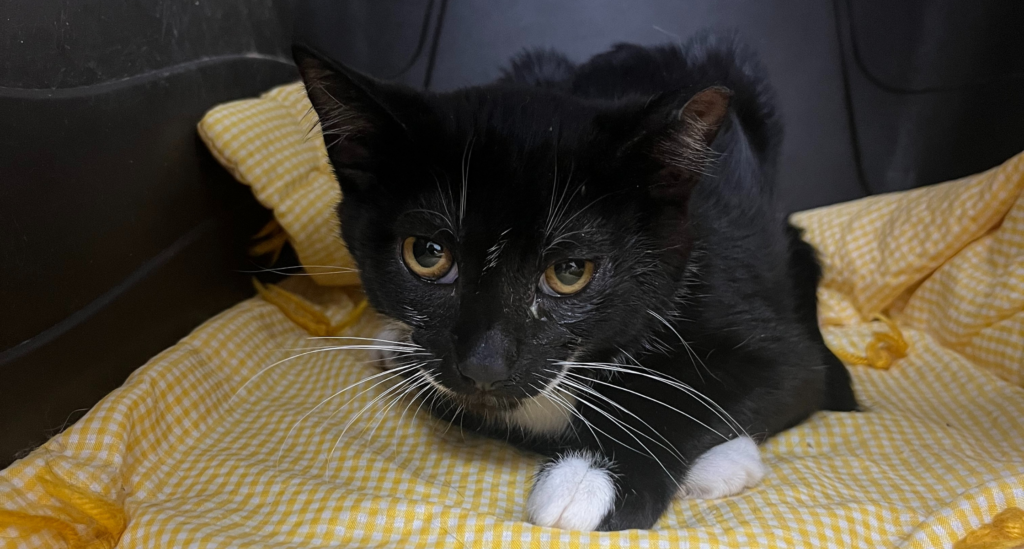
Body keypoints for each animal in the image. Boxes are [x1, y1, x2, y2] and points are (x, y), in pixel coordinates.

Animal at [294, 35, 856, 532]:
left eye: (569, 272)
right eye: (428, 255)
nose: (483, 365)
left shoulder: (769, 331)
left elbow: (717, 389)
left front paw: (589, 477)